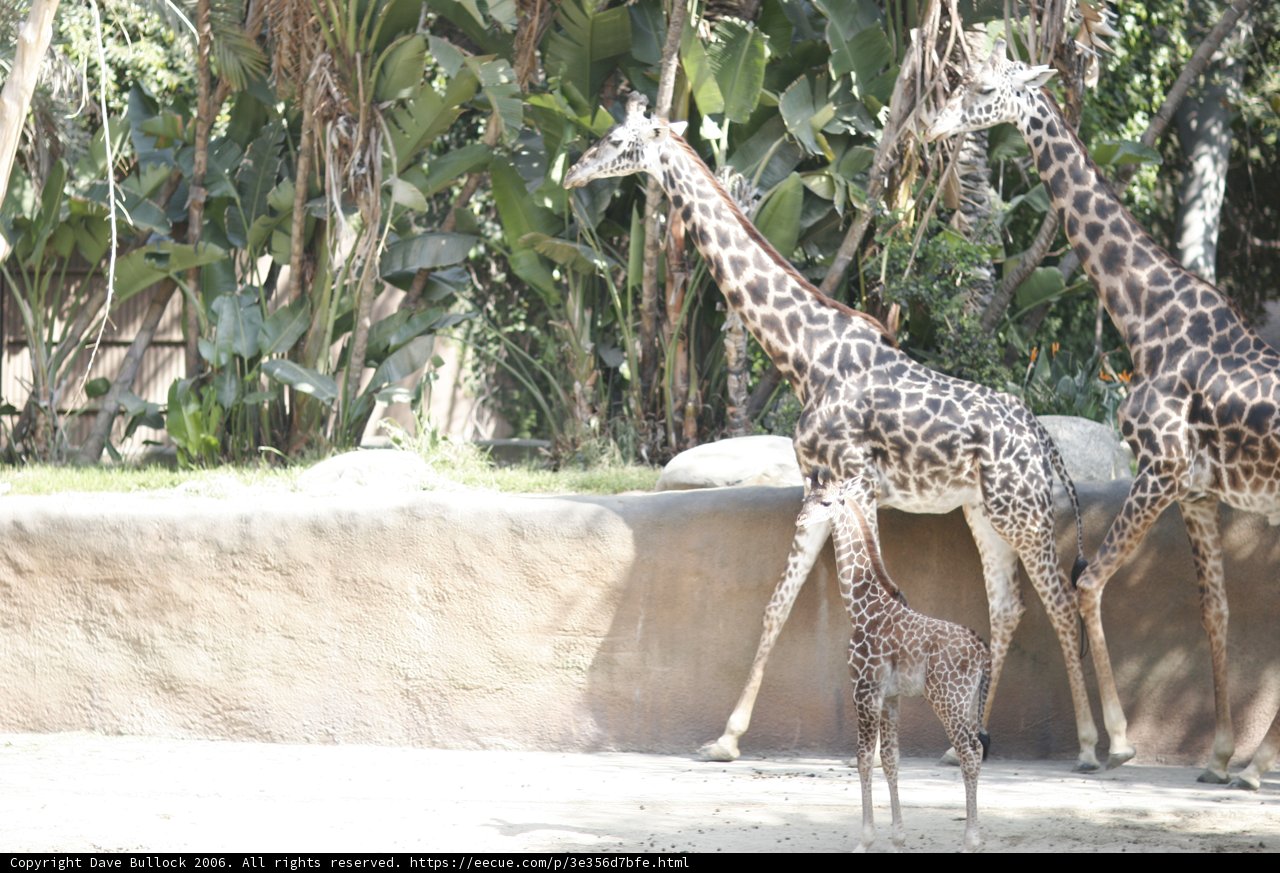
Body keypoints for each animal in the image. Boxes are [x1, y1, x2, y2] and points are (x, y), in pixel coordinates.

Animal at [565, 91, 1112, 771]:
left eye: (616, 141)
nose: (573, 174)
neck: (803, 355)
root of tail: (1042, 437)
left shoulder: (857, 482)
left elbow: (875, 593)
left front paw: (871, 738)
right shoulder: (819, 488)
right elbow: (777, 605)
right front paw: (725, 739)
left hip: (1023, 511)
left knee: (1061, 601)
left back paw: (1095, 745)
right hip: (982, 511)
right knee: (1009, 606)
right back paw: (967, 744)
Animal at [798, 473, 991, 852]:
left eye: (826, 502)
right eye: (805, 499)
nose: (800, 521)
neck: (861, 608)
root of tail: (983, 652)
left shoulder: (865, 689)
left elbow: (862, 759)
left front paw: (865, 838)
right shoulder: (891, 697)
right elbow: (890, 760)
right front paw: (898, 835)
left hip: (947, 699)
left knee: (970, 752)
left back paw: (971, 839)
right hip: (968, 700)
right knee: (974, 749)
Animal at [926, 38, 1280, 784]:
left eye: (980, 88)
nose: (934, 127)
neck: (1145, 317)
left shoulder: (1160, 468)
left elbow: (1086, 582)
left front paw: (1116, 742)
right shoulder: (1194, 490)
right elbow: (1215, 610)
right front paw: (1217, 755)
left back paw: (1258, 766)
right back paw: (1252, 763)